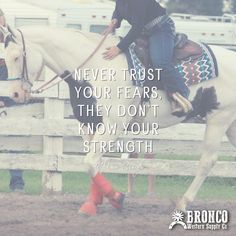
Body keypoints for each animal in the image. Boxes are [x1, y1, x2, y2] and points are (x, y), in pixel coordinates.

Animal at [0, 24, 236, 215]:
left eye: (17, 57)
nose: (15, 95)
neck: (95, 67)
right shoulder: (89, 124)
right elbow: (93, 163)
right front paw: (92, 203)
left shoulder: (112, 126)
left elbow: (89, 162)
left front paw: (116, 198)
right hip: (231, 124)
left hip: (220, 118)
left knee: (207, 161)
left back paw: (182, 204)